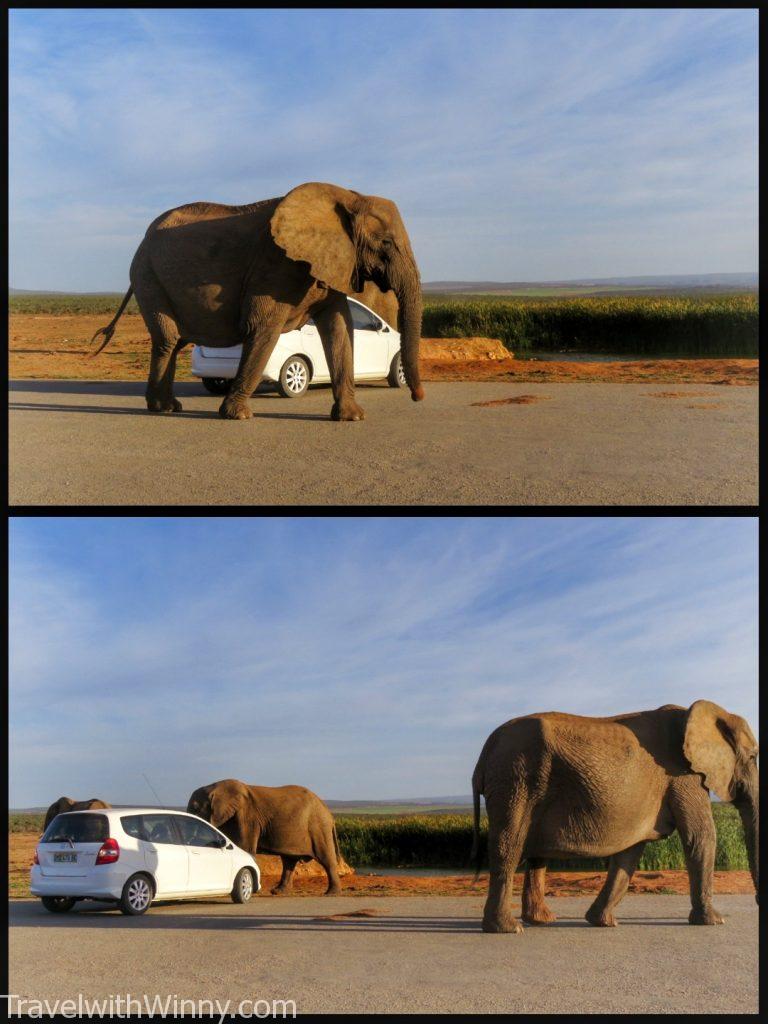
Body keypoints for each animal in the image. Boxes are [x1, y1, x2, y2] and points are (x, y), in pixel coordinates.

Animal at [94, 182, 428, 421]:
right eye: (385, 243)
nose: (418, 397)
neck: (348, 197)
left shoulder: (331, 263)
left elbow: (339, 328)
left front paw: (352, 418)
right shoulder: (275, 265)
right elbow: (263, 326)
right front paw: (237, 416)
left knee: (175, 341)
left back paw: (166, 407)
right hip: (147, 276)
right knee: (168, 339)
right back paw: (164, 408)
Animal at [186, 778, 342, 892]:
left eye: (195, 807)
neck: (215, 786)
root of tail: (330, 814)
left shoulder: (248, 817)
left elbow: (245, 847)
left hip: (318, 827)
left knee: (326, 857)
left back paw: (331, 893)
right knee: (289, 861)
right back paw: (278, 891)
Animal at [473, 700, 761, 933]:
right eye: (753, 757)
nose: (759, 903)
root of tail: (486, 749)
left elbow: (630, 851)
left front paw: (603, 922)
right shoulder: (684, 776)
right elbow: (700, 837)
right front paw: (714, 921)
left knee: (535, 854)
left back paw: (542, 920)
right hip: (516, 777)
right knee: (509, 845)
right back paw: (508, 928)